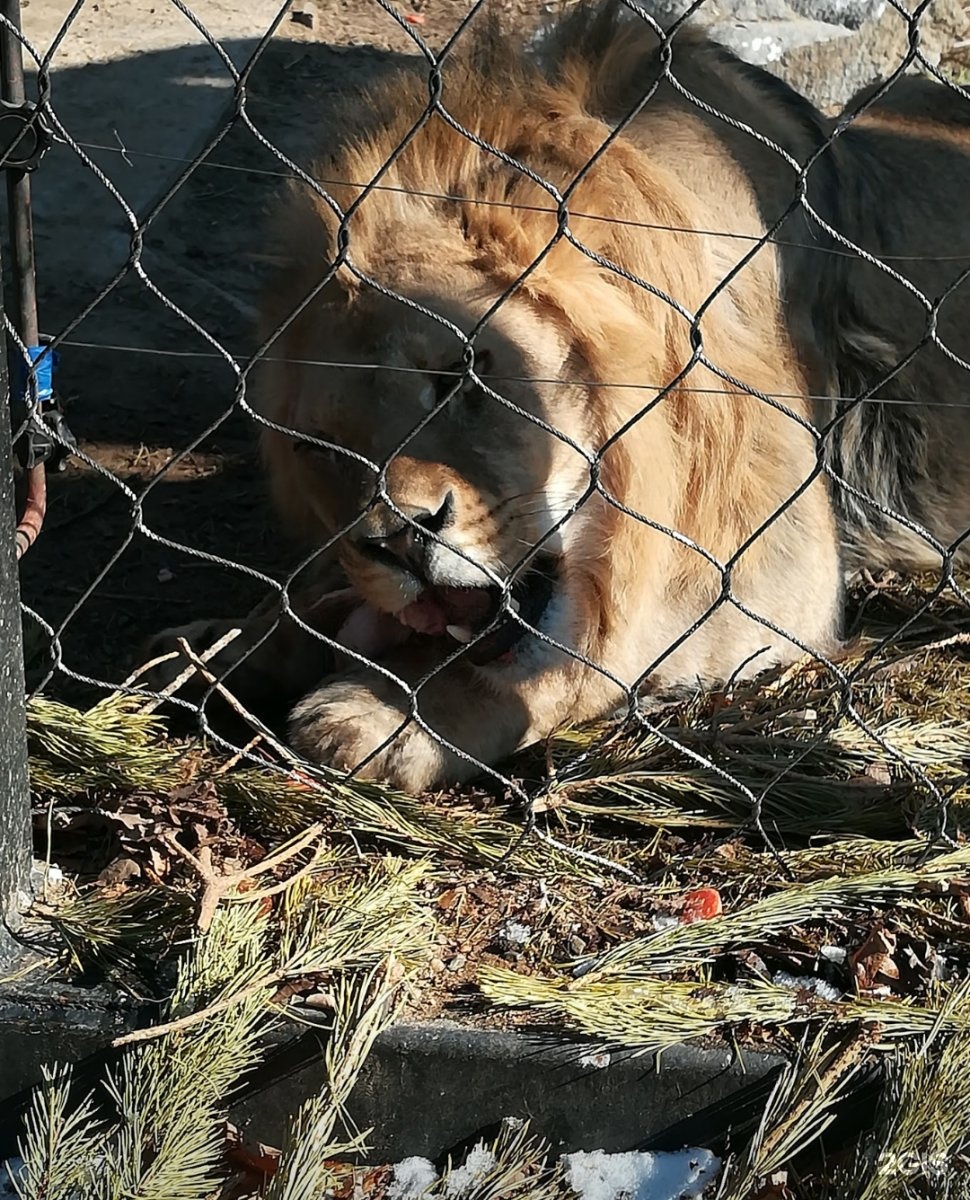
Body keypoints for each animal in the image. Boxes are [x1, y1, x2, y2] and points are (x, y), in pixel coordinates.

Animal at [144, 4, 969, 792]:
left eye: (462, 375)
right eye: (319, 448)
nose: (399, 541)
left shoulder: (782, 568)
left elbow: (584, 655)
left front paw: (385, 714)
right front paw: (222, 649)